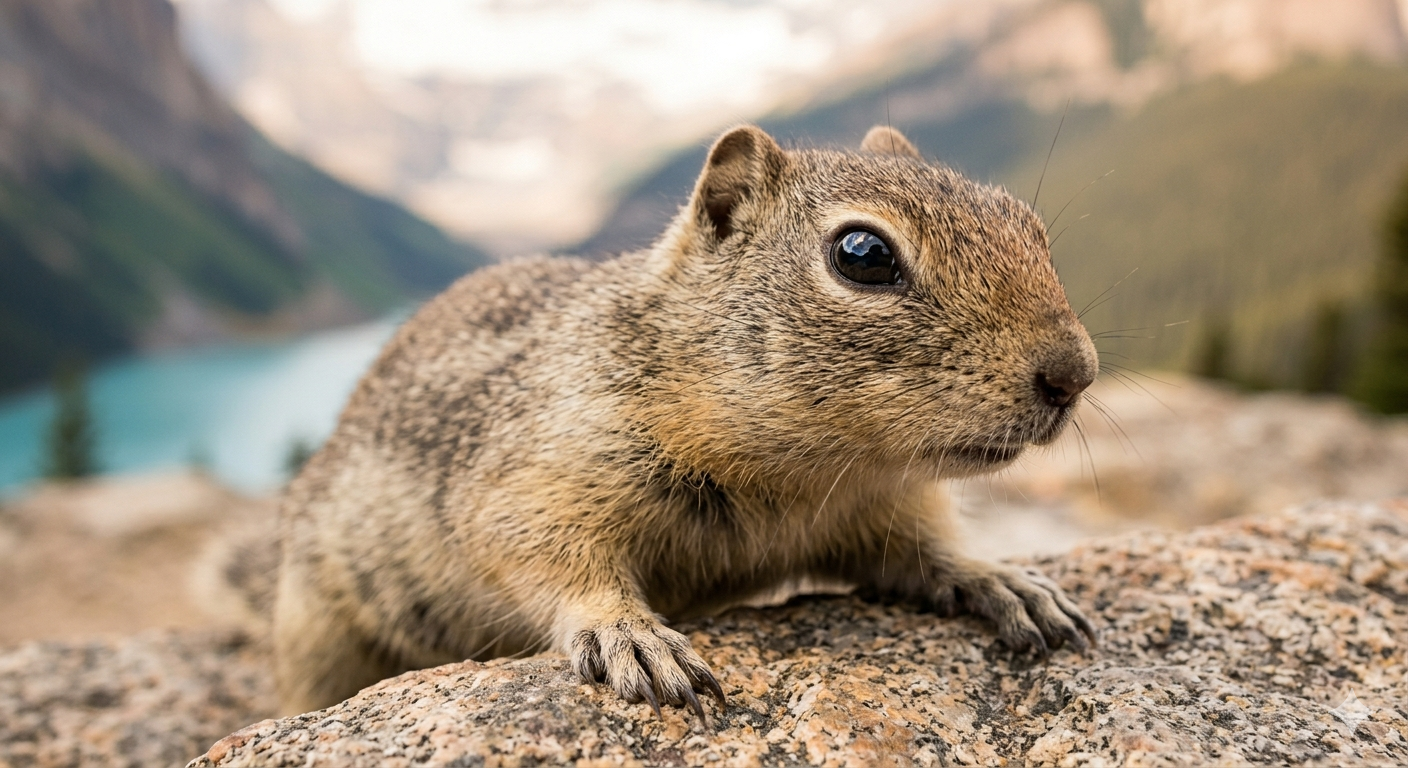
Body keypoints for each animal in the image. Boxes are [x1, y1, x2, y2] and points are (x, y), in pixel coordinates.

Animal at [272, 124, 1100, 719]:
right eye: (862, 254)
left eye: (1029, 225)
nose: (1074, 374)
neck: (805, 475)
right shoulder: (537, 473)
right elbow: (542, 554)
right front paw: (632, 638)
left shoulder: (881, 505)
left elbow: (926, 550)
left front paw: (1001, 579)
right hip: (317, 630)